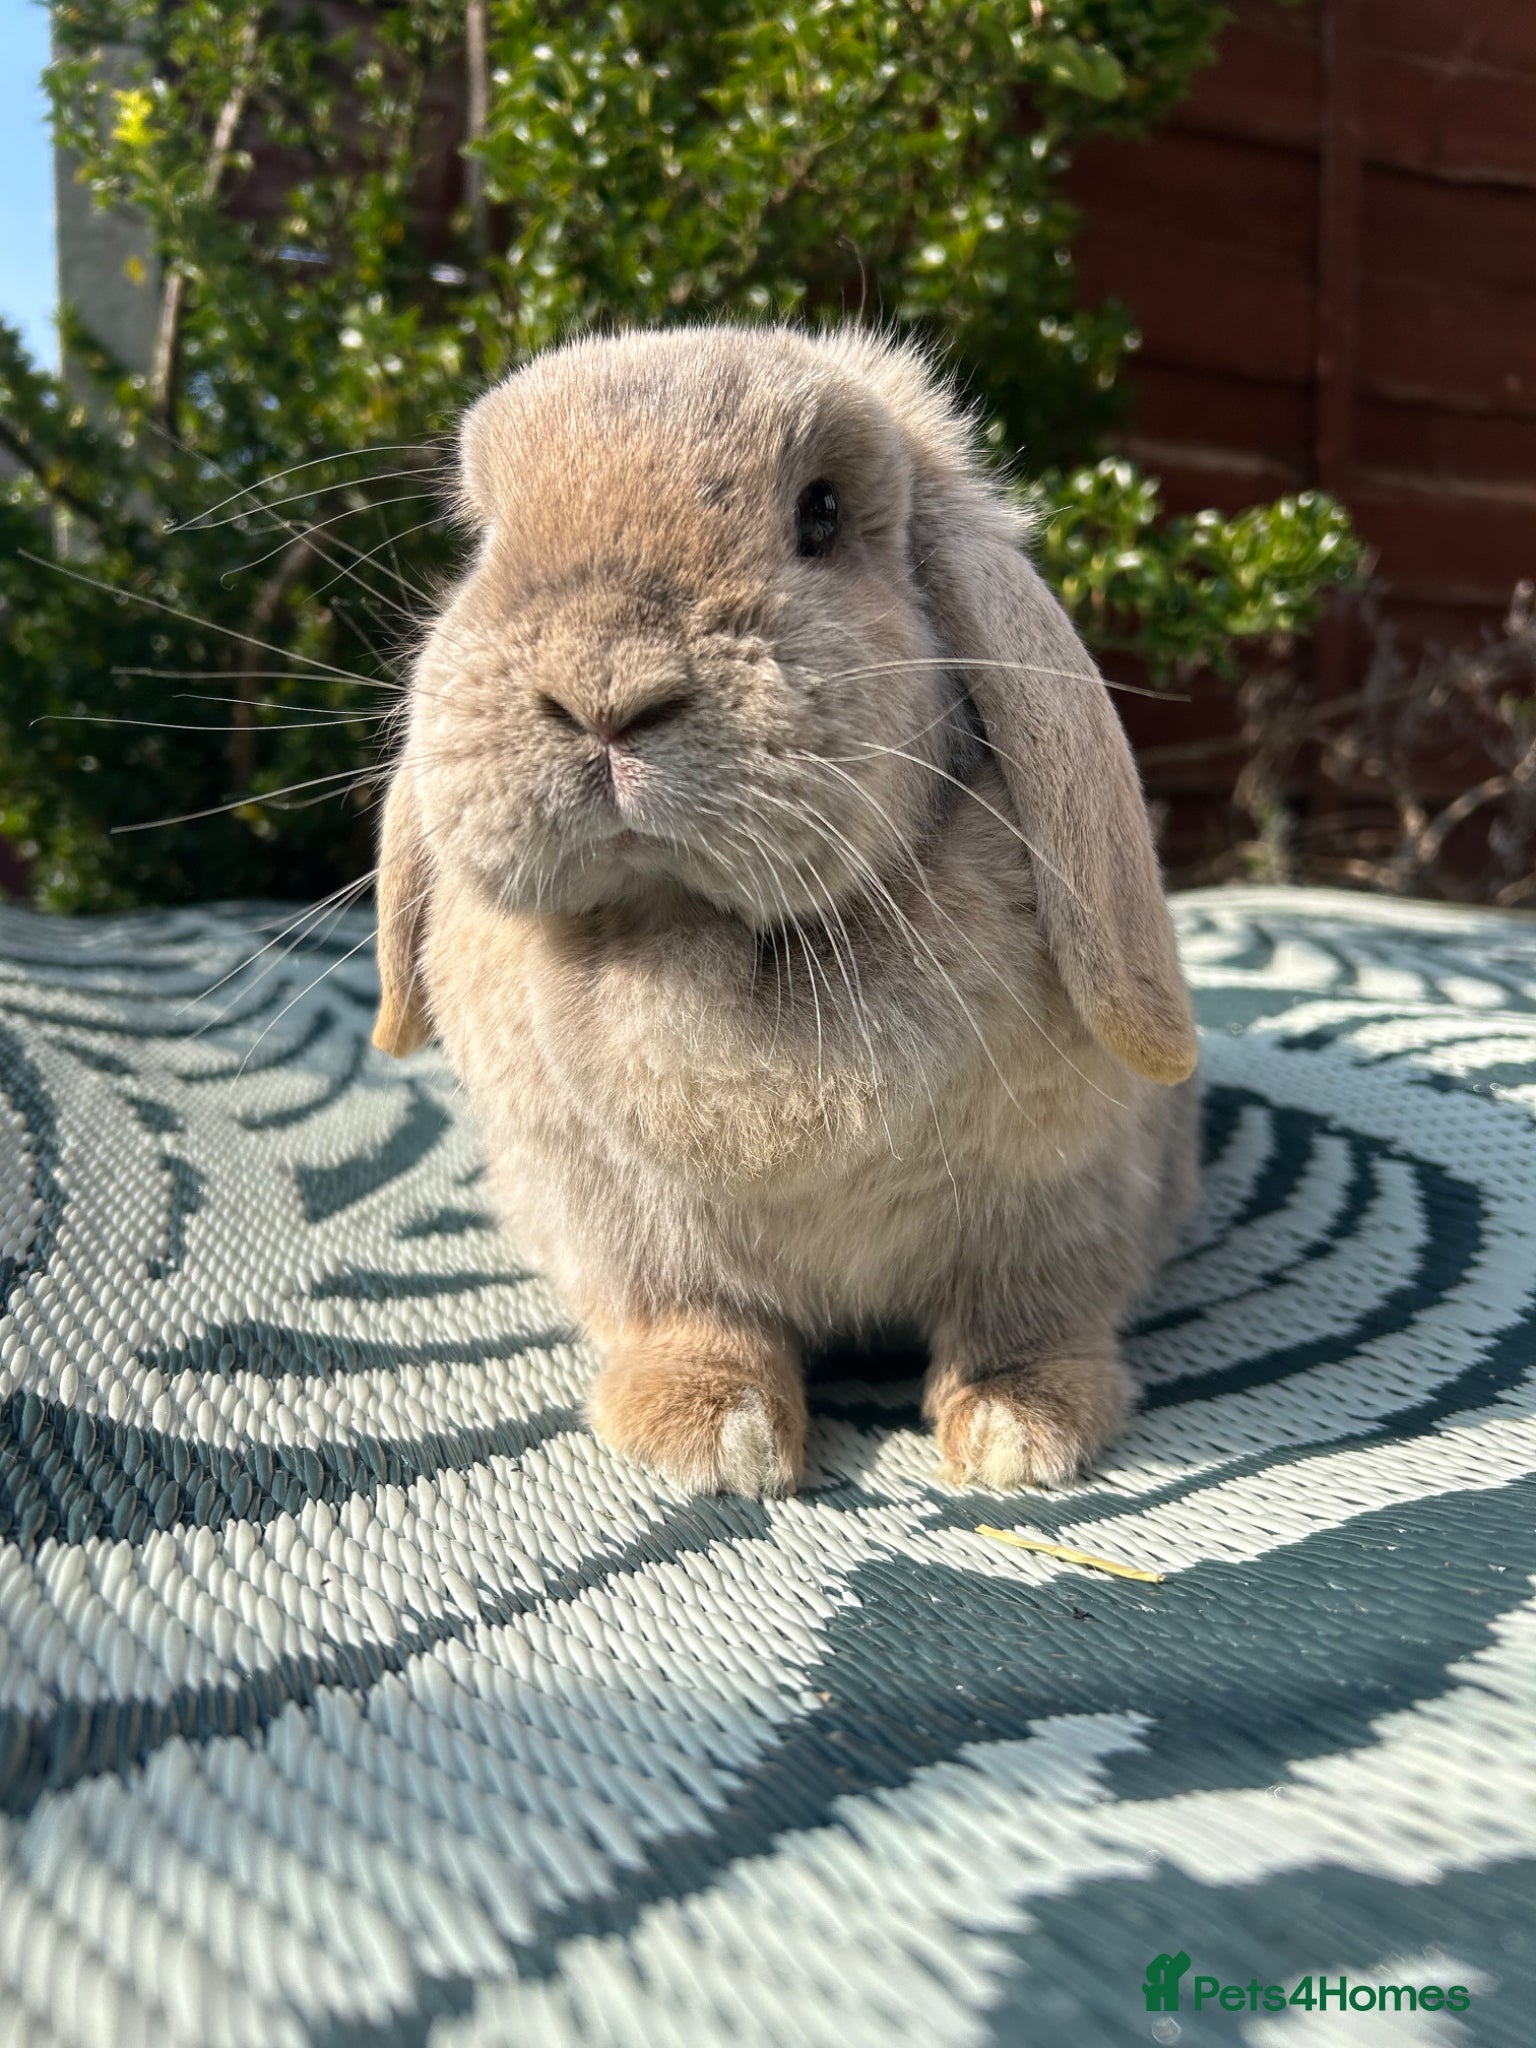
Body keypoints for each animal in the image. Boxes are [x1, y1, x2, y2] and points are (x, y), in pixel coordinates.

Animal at [371, 324, 1200, 1498]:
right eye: (486, 539)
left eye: (820, 514)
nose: (603, 690)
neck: (702, 930)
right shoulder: (627, 1233)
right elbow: (695, 1323)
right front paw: (715, 1435)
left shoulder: (1055, 1201)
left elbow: (1019, 1320)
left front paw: (1019, 1429)